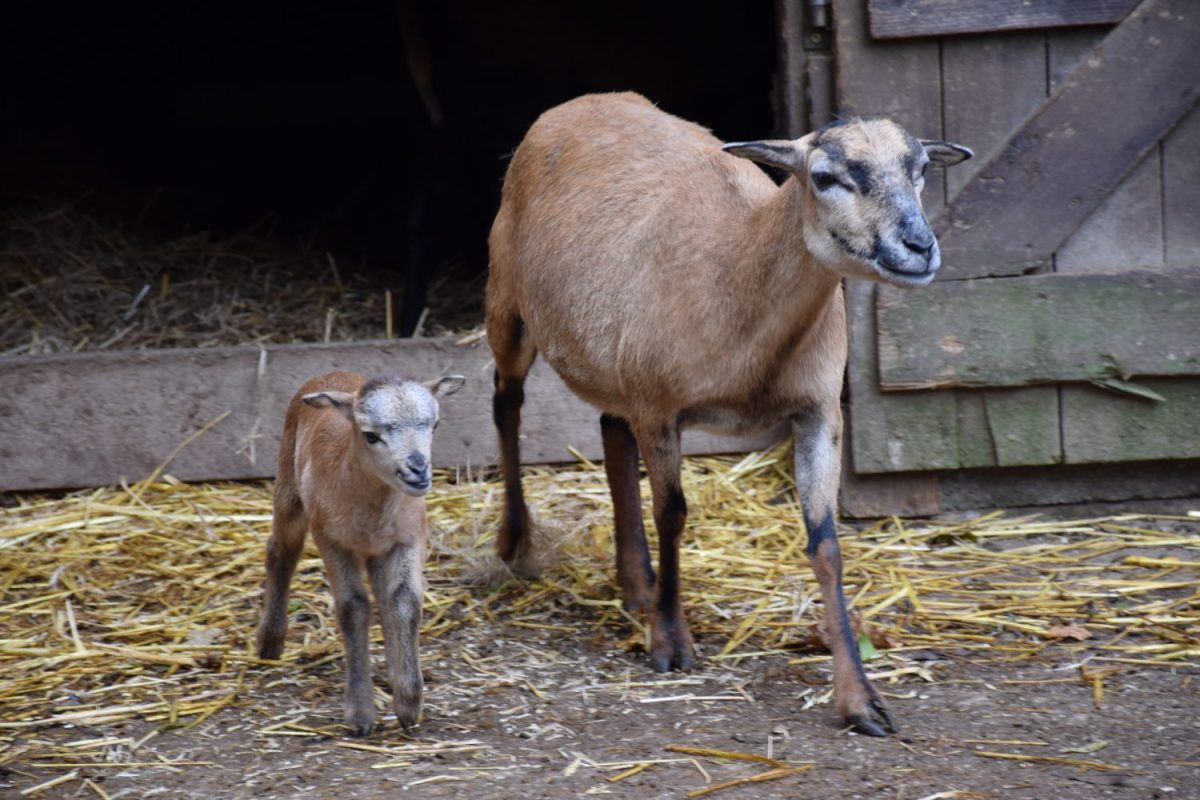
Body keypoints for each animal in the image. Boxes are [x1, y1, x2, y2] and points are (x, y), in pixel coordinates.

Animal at [258, 371, 463, 734]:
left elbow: (405, 600)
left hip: (379, 550)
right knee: (282, 550)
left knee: (384, 593)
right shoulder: (331, 540)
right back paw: (270, 642)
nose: (418, 470)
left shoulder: (410, 537)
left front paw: (409, 702)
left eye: (435, 425)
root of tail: (330, 375)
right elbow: (353, 607)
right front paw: (359, 715)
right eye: (370, 435)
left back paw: (394, 669)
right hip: (288, 485)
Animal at [482, 94, 969, 738]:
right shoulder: (660, 407)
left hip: (615, 361)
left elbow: (826, 546)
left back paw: (637, 584)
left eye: (921, 170)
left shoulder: (817, 413)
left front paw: (860, 699)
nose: (919, 246)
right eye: (824, 177)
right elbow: (672, 515)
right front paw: (670, 641)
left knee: (610, 431)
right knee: (506, 403)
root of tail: (583, 101)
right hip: (507, 300)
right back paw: (516, 541)